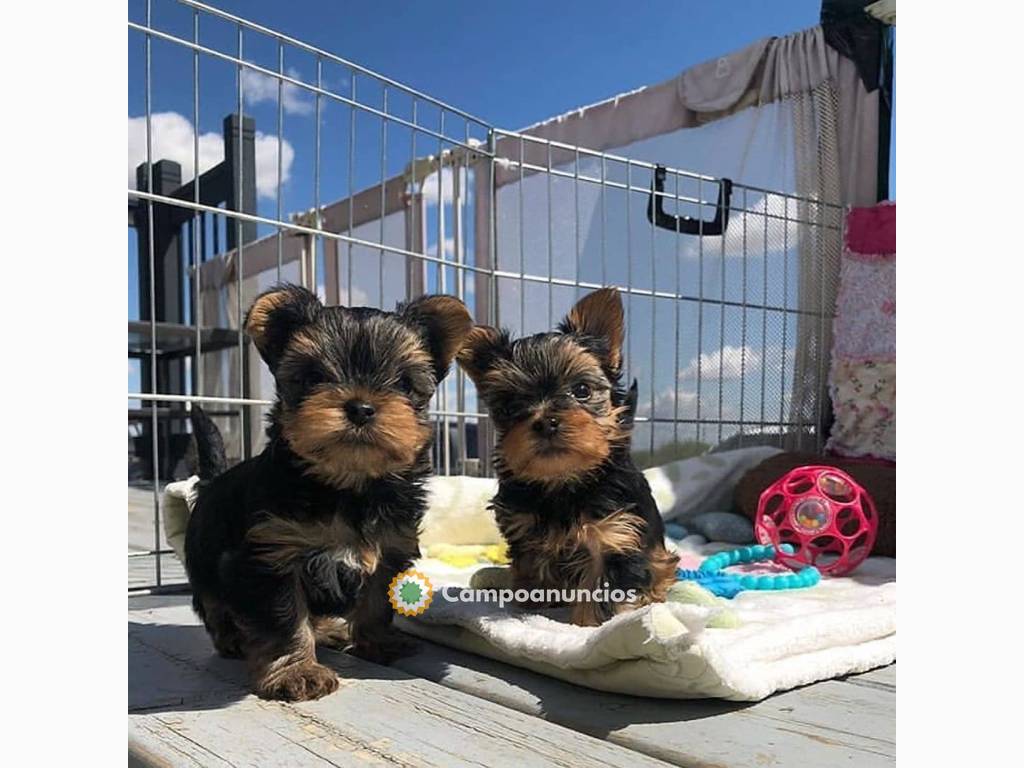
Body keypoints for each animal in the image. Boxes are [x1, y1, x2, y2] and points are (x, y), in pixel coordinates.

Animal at [185, 286, 471, 700]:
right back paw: (233, 638)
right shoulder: (269, 557)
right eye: (313, 377)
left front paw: (376, 642)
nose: (361, 407)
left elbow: (375, 603)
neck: (349, 485)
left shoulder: (389, 547)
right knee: (213, 603)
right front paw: (296, 671)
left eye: (403, 383)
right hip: (206, 560)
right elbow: (284, 617)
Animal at [460, 286, 675, 626]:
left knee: (661, 564)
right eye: (509, 406)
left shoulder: (613, 534)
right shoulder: (526, 531)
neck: (563, 480)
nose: (546, 422)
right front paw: (535, 605)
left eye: (582, 390)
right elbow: (534, 568)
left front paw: (589, 624)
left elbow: (600, 587)